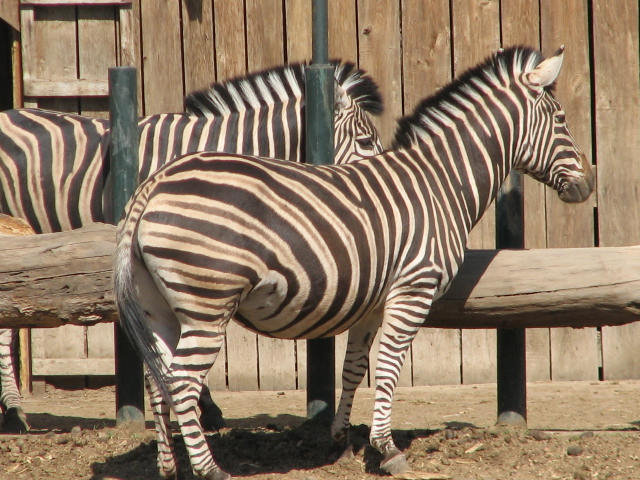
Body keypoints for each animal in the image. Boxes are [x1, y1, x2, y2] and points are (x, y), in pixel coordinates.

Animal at [113, 46, 594, 479]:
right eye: (561, 120)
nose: (588, 185)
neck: (440, 182)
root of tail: (152, 185)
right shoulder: (412, 290)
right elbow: (388, 368)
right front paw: (388, 449)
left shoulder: (374, 300)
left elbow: (354, 368)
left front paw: (342, 438)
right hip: (206, 304)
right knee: (181, 383)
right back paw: (210, 469)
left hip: (160, 306)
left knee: (159, 380)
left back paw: (168, 467)